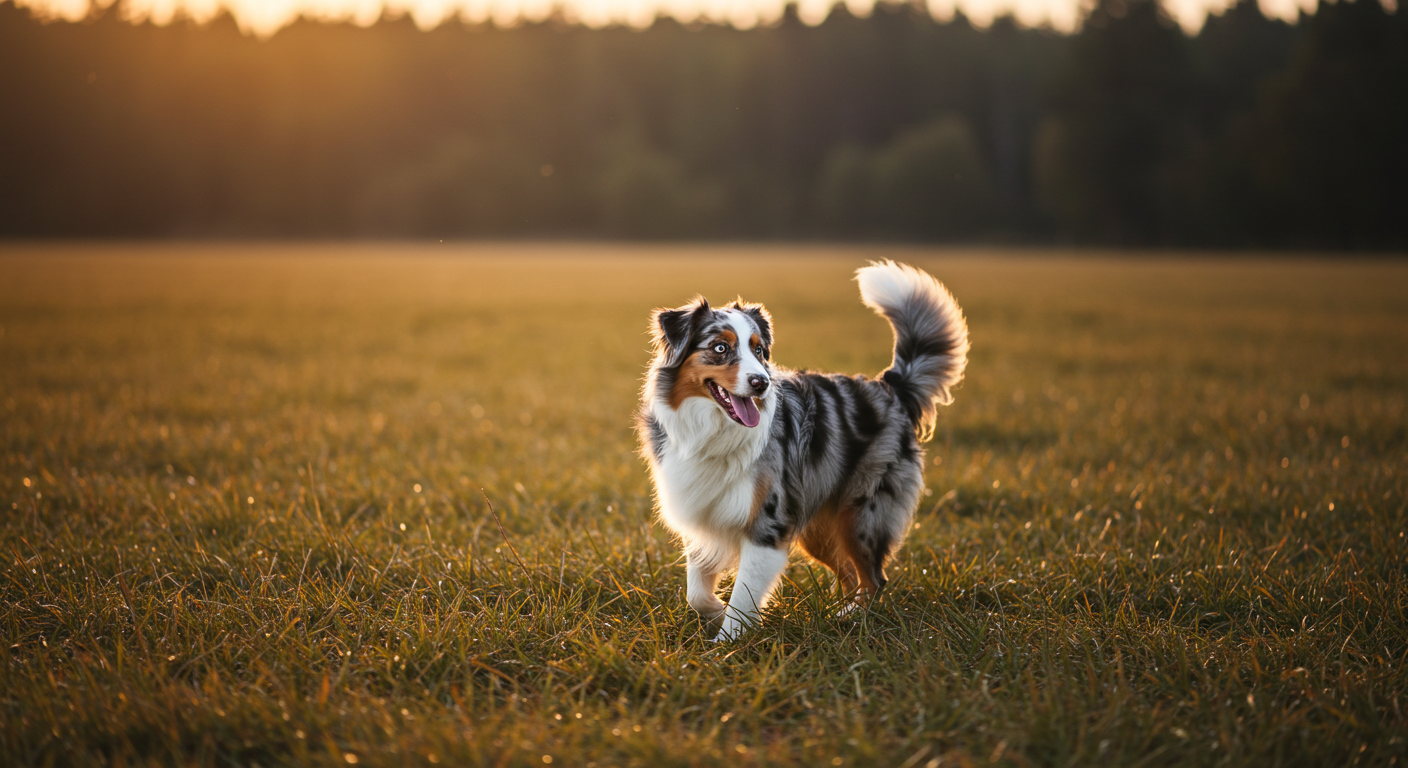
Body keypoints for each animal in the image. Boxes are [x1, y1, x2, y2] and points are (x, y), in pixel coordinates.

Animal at [639, 260, 968, 636]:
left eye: (758, 350)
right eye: (720, 348)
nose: (762, 383)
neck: (712, 428)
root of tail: (891, 387)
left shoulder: (768, 523)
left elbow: (743, 597)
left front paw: (728, 640)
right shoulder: (701, 508)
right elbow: (696, 590)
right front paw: (715, 612)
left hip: (861, 516)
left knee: (874, 579)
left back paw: (850, 619)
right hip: (820, 528)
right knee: (851, 576)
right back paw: (837, 615)